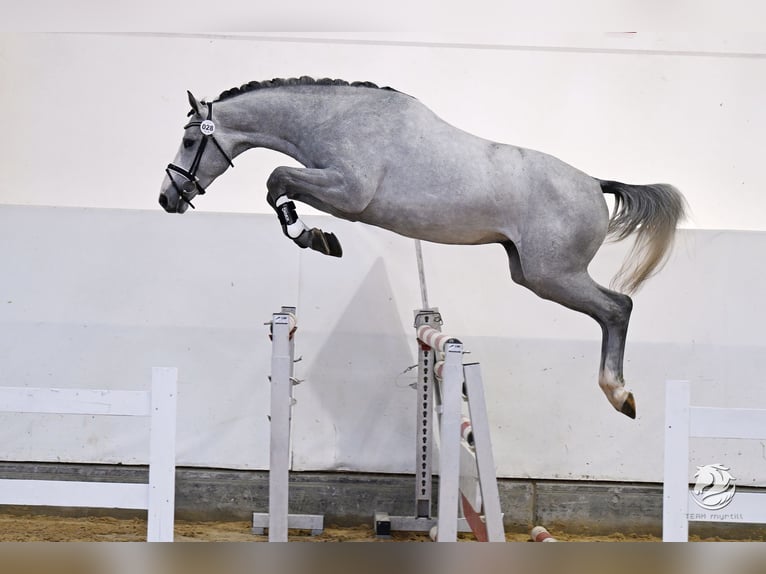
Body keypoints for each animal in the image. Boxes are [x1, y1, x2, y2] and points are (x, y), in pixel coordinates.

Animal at [159, 76, 686, 419]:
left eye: (187, 141)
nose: (167, 199)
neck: (335, 119)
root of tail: (595, 183)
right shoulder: (335, 191)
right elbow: (278, 186)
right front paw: (316, 236)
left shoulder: (348, 192)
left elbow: (277, 179)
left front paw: (313, 237)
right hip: (531, 273)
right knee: (612, 309)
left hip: (554, 275)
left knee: (618, 308)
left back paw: (620, 395)